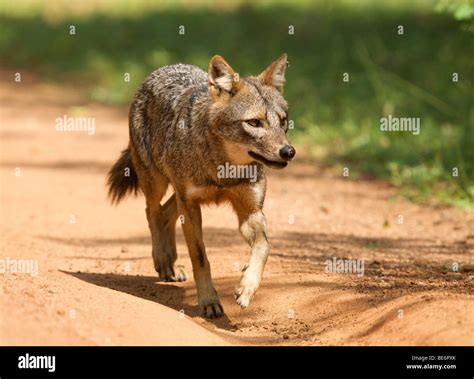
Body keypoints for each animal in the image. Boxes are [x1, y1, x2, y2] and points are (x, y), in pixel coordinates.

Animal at [106, 52, 296, 316]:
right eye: (254, 122)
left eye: (283, 121)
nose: (288, 151)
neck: (223, 170)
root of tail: (164, 68)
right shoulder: (191, 206)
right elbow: (200, 257)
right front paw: (208, 301)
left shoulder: (251, 212)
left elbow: (264, 248)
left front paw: (247, 287)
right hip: (158, 183)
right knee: (152, 211)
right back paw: (163, 260)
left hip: (177, 194)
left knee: (164, 213)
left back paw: (171, 264)